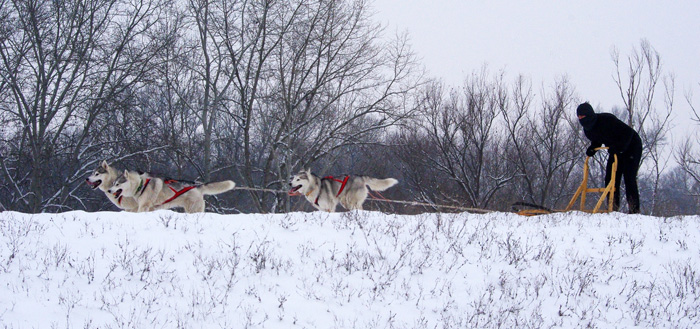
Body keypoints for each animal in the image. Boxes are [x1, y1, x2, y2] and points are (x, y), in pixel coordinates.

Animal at [108, 169, 237, 213]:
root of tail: (197, 186)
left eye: (118, 184)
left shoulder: (144, 206)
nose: (109, 190)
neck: (140, 185)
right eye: (113, 183)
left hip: (193, 209)